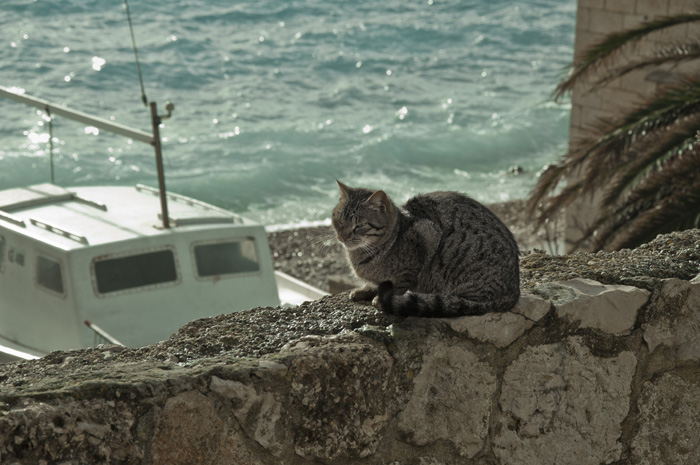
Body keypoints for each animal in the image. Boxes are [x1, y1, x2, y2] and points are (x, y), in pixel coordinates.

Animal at [332, 181, 520, 317]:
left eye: (359, 226)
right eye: (339, 221)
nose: (343, 236)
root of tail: (514, 291)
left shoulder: (427, 237)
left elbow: (397, 286)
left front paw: (382, 299)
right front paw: (366, 289)